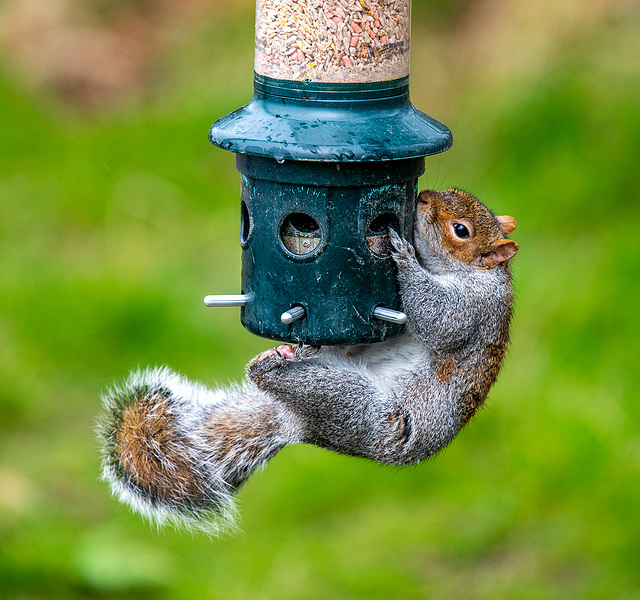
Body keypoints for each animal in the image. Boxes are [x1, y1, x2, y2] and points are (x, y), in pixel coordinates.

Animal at [97, 189, 516, 536]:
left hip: (355, 407)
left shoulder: (475, 308)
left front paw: (404, 255)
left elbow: (440, 321)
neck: (479, 271)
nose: (424, 196)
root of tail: (298, 421)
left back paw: (268, 366)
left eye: (460, 230)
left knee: (273, 379)